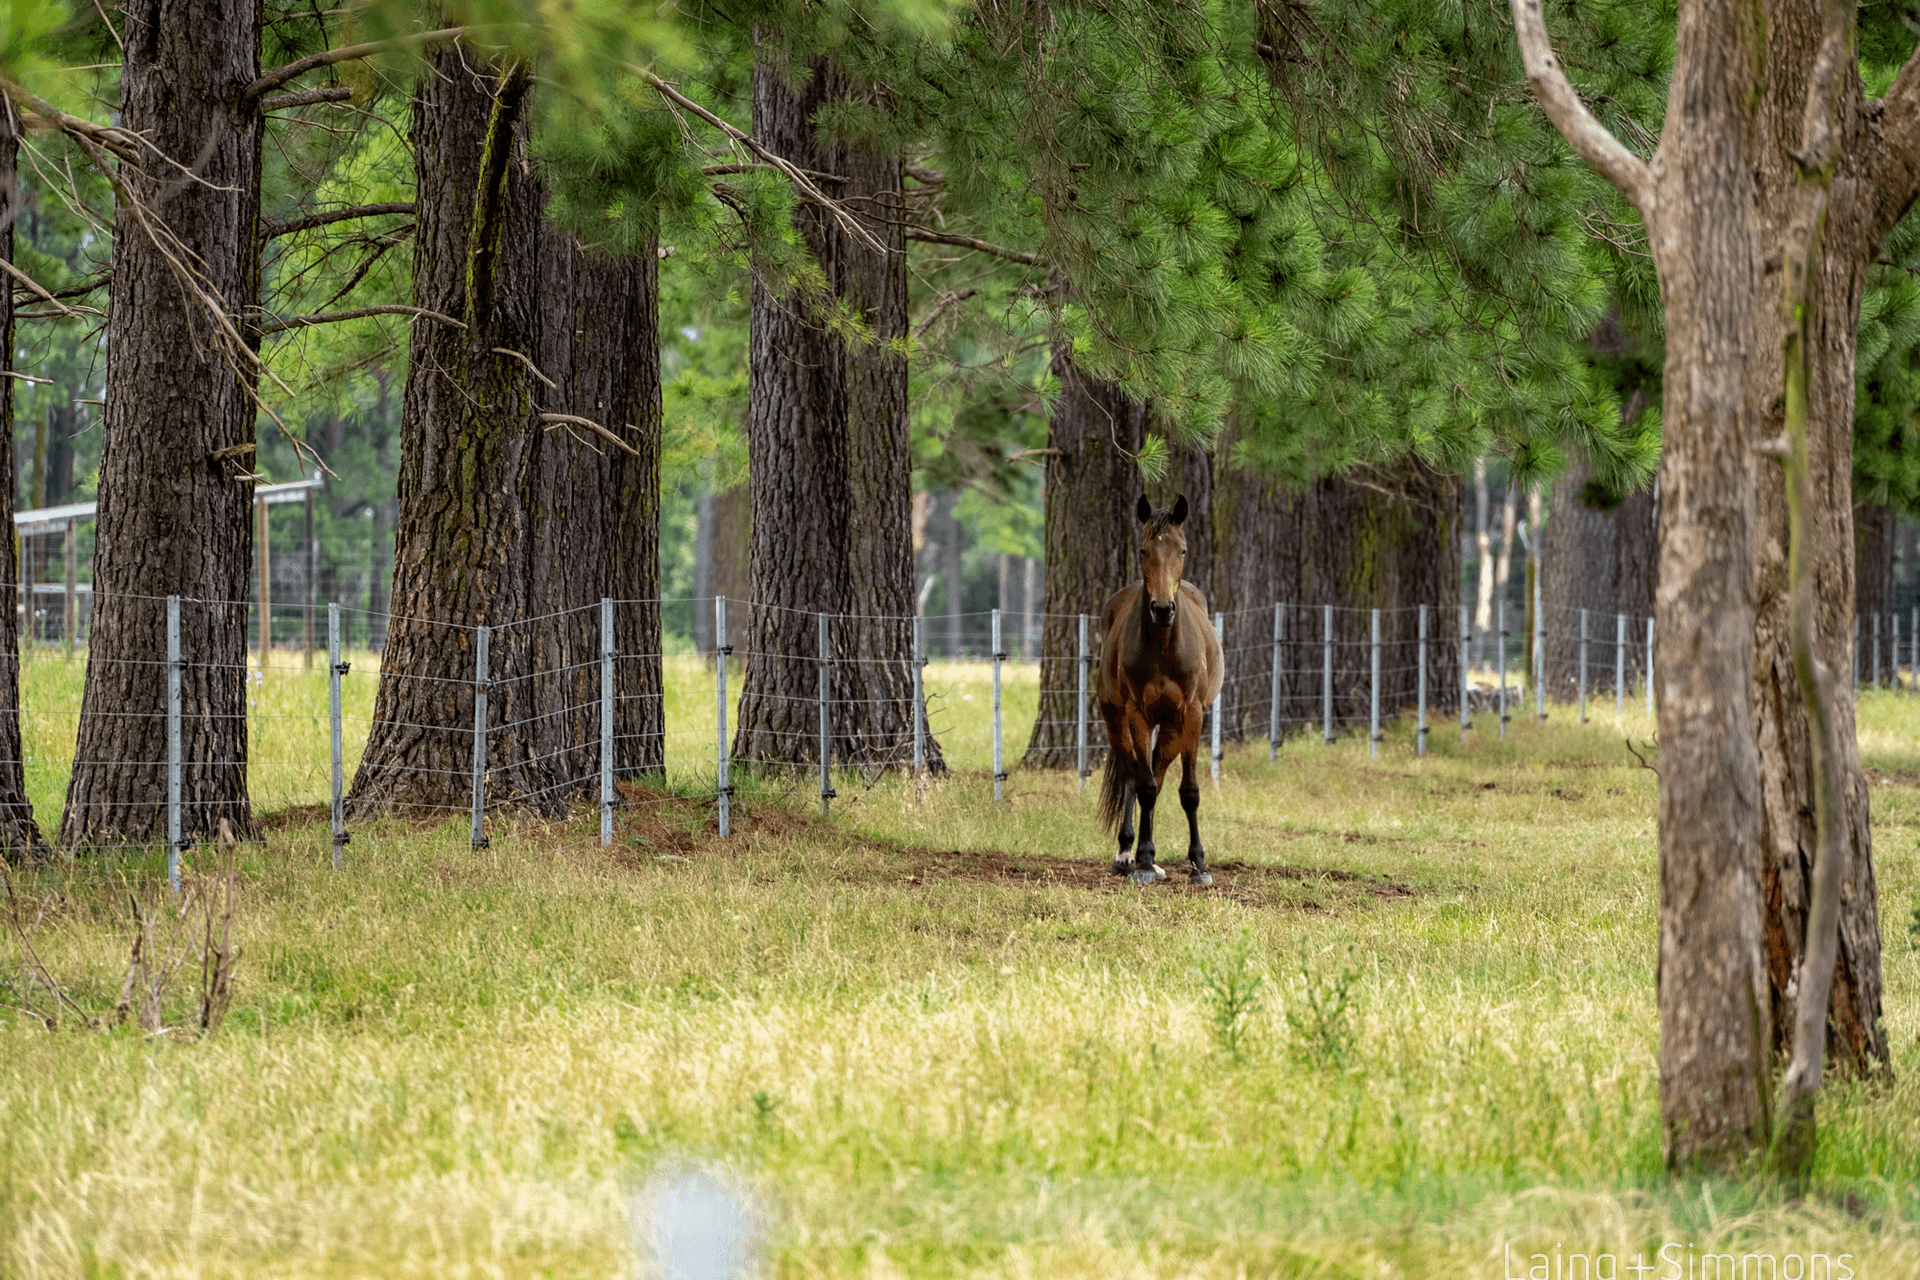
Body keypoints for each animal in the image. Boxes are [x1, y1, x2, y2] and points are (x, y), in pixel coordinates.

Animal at [1105, 495, 1221, 886]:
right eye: (1142, 551)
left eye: (1182, 550)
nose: (1162, 609)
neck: (1163, 646)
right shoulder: (1137, 715)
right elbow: (1144, 786)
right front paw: (1140, 861)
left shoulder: (1191, 715)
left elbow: (1189, 791)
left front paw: (1199, 864)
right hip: (1114, 718)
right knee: (1133, 773)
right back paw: (1129, 853)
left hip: (1172, 728)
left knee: (1158, 769)